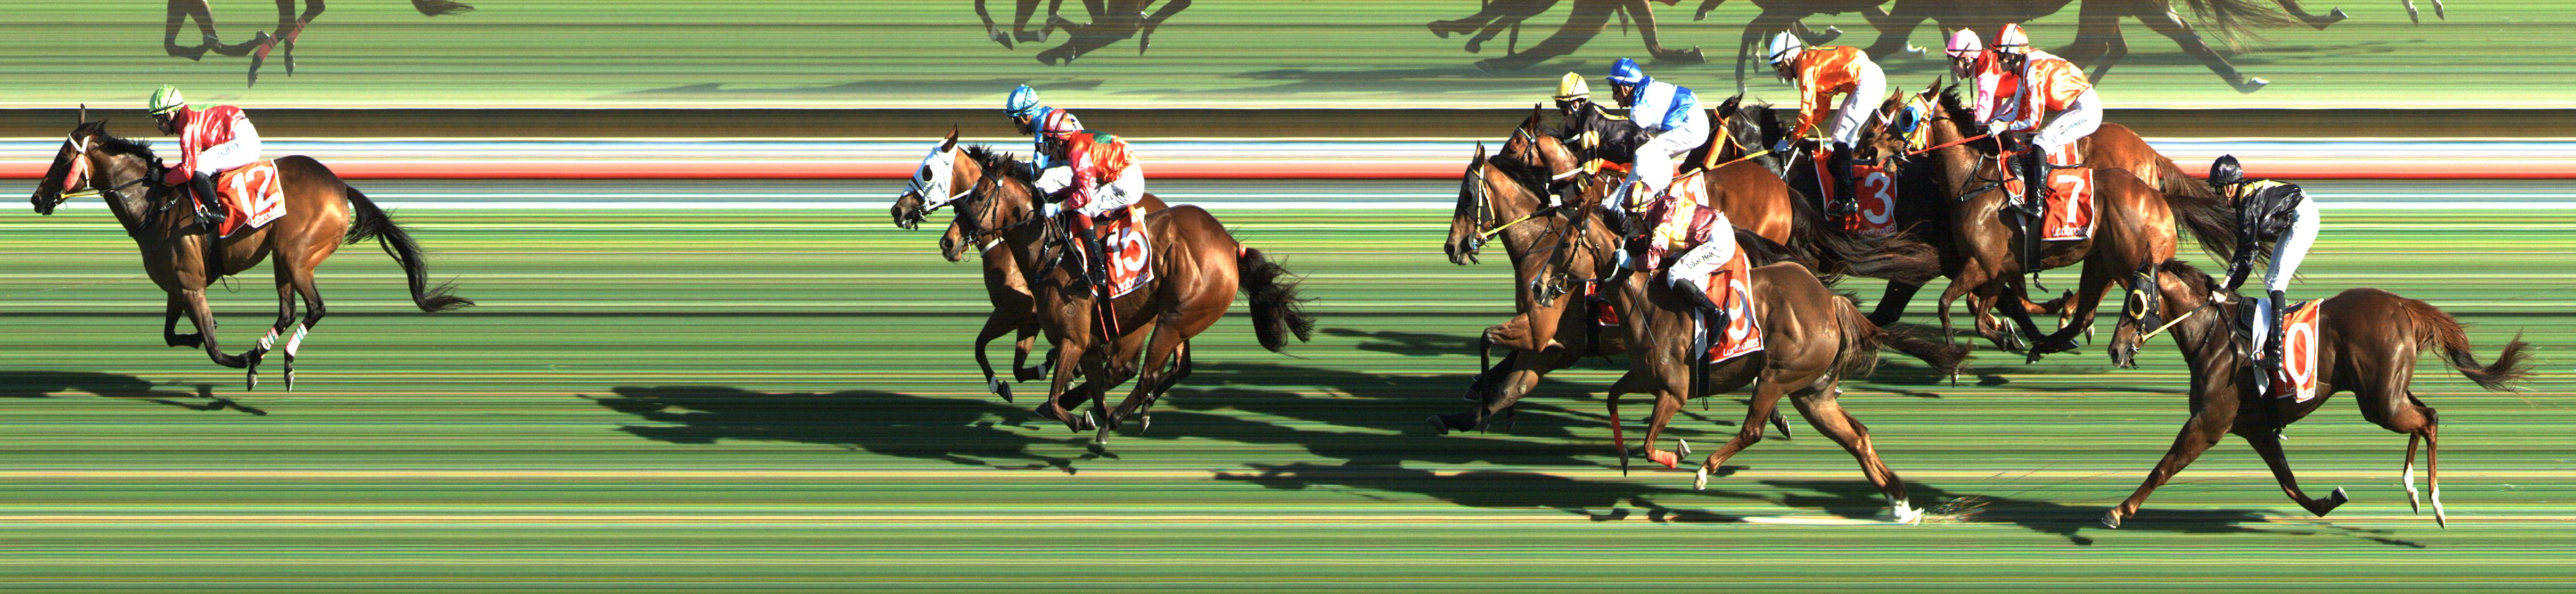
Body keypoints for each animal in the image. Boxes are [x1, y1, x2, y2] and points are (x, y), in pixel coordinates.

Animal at [28, 112, 472, 390]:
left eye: (63, 157)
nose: (36, 198)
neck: (154, 208)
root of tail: (339, 184)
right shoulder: (177, 287)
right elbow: (171, 336)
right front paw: (206, 339)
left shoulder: (192, 287)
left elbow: (214, 349)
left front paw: (242, 357)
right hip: (282, 258)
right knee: (289, 311)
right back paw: (271, 353)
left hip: (296, 255)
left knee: (316, 308)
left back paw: (276, 358)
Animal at [890, 148, 1168, 405]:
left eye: (927, 172)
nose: (897, 211)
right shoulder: (1031, 318)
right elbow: (1015, 366)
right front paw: (1047, 369)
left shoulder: (1018, 307)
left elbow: (981, 345)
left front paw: (1002, 384)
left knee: (1127, 365)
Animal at [1527, 184, 1965, 522]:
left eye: (1566, 244)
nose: (1538, 287)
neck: (1645, 301)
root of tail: (1831, 303)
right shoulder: (1643, 377)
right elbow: (1612, 398)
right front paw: (1621, 457)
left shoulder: (1674, 391)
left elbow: (1651, 445)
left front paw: (1678, 453)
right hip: (1813, 393)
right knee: (1857, 437)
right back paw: (1900, 504)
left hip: (1777, 376)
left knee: (1753, 430)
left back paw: (1705, 471)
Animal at [1875, 84, 2235, 360]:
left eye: (1905, 118)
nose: (1872, 151)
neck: (1975, 181)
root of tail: (2155, 190)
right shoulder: (1996, 268)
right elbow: (1982, 310)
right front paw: (2008, 335)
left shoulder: (1982, 263)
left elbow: (1949, 303)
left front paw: (1957, 352)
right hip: (2101, 261)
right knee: (2087, 309)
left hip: (2130, 264)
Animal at [2102, 260, 2530, 528]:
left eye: (2135, 302)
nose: (2115, 350)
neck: (2214, 336)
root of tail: (2401, 305)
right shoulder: (2257, 428)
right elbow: (2289, 484)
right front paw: (2330, 501)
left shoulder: (2208, 422)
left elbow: (2162, 468)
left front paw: (2119, 510)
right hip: (2388, 394)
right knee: (2427, 415)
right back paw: (2412, 492)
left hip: (2379, 403)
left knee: (2429, 420)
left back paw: (2435, 501)